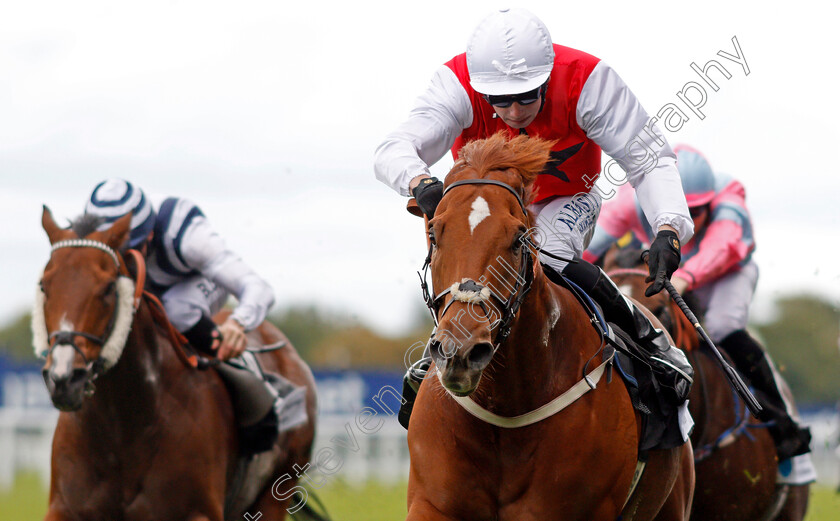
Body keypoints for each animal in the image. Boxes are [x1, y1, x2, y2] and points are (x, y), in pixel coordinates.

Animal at [32, 208, 316, 520]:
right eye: (44, 285)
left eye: (107, 288)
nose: (64, 378)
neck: (124, 428)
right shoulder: (64, 508)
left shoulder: (199, 511)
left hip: (276, 490)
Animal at [404, 134, 692, 520]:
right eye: (434, 234)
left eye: (518, 238)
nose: (460, 352)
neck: (505, 408)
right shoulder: (432, 503)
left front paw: (666, 247)